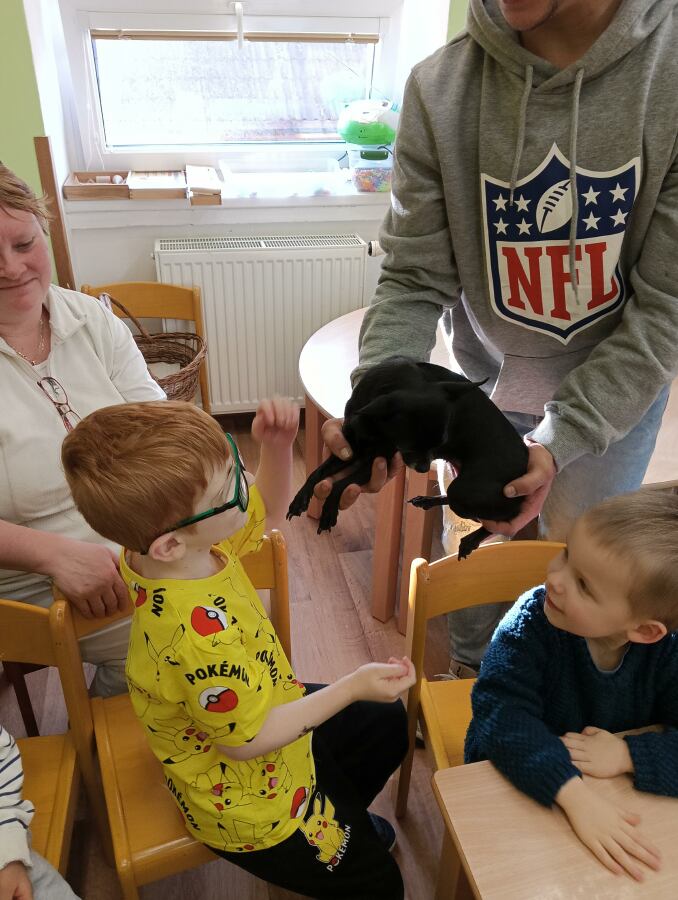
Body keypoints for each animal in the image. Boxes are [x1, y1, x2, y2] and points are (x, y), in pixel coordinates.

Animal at [286, 356, 530, 559]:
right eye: (410, 446)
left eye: (440, 444)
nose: (423, 469)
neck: (374, 426)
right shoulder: (350, 450)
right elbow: (317, 472)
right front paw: (300, 499)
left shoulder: (376, 461)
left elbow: (341, 483)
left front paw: (329, 511)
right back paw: (427, 501)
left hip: (465, 490)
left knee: (499, 520)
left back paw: (470, 540)